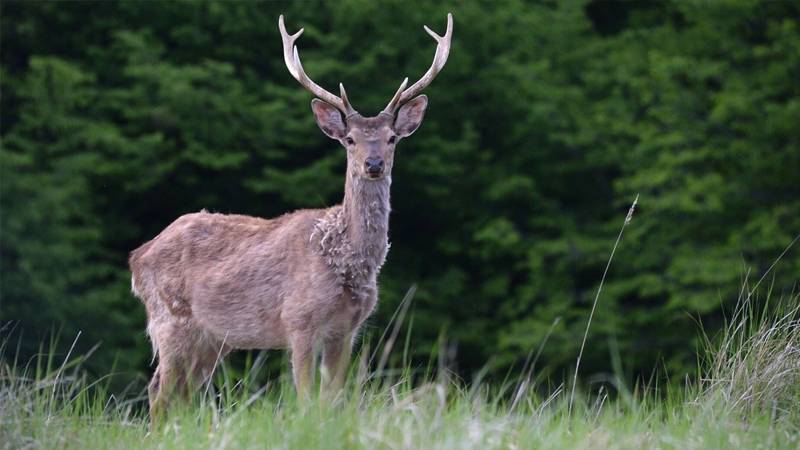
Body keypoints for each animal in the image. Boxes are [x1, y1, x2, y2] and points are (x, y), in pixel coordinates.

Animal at [128, 13, 453, 420]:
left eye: (392, 137)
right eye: (350, 139)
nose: (374, 164)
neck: (344, 260)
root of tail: (137, 256)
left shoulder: (347, 330)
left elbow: (333, 399)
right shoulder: (298, 320)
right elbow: (305, 398)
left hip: (212, 338)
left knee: (182, 394)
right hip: (169, 318)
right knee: (159, 390)